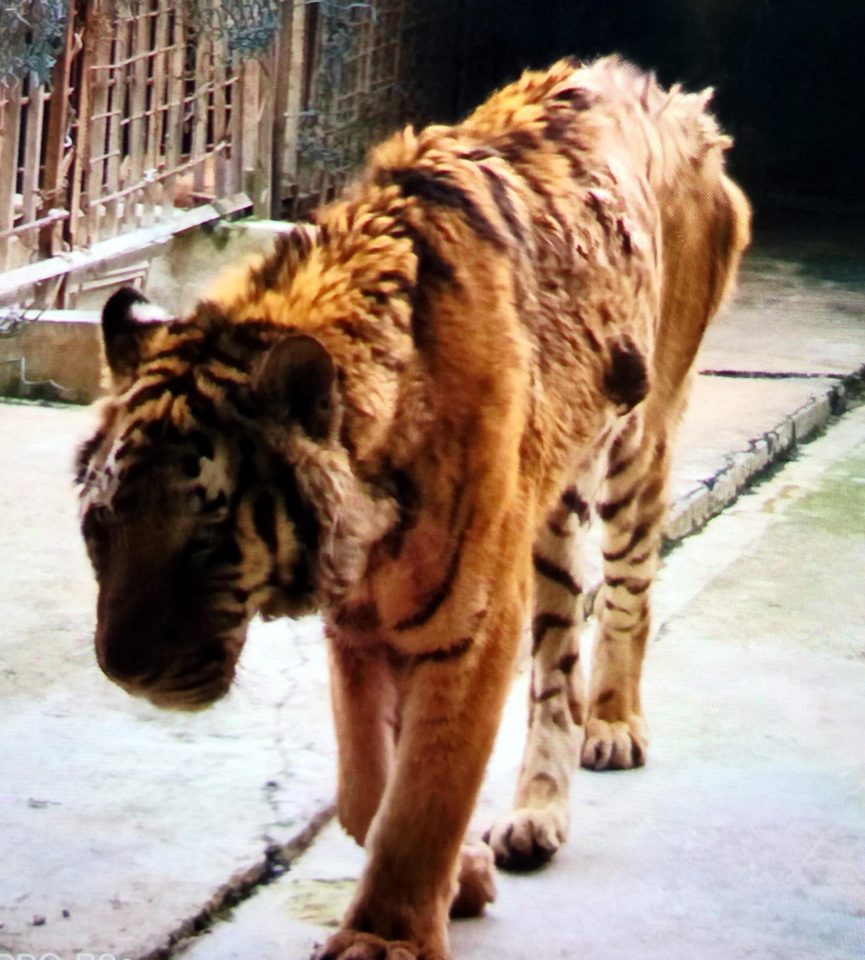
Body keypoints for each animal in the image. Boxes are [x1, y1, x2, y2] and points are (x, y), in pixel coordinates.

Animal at [76, 58, 748, 960]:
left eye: (209, 536)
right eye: (100, 527)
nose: (125, 672)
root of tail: (673, 97)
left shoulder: (469, 625)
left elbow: (425, 792)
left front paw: (385, 937)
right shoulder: (358, 625)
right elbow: (368, 790)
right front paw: (462, 879)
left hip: (639, 444)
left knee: (627, 597)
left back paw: (612, 726)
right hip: (553, 505)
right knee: (557, 659)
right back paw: (536, 813)